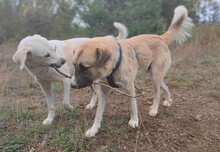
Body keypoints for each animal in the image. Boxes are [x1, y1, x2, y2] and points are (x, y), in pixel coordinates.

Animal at [71, 5, 194, 137]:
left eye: (84, 67)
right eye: (74, 65)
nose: (72, 85)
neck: (115, 64)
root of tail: (160, 37)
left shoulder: (130, 88)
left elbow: (132, 106)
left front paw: (134, 121)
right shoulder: (103, 91)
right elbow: (98, 113)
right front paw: (94, 129)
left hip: (155, 75)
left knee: (157, 94)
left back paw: (154, 109)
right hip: (155, 75)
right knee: (165, 87)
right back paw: (168, 100)